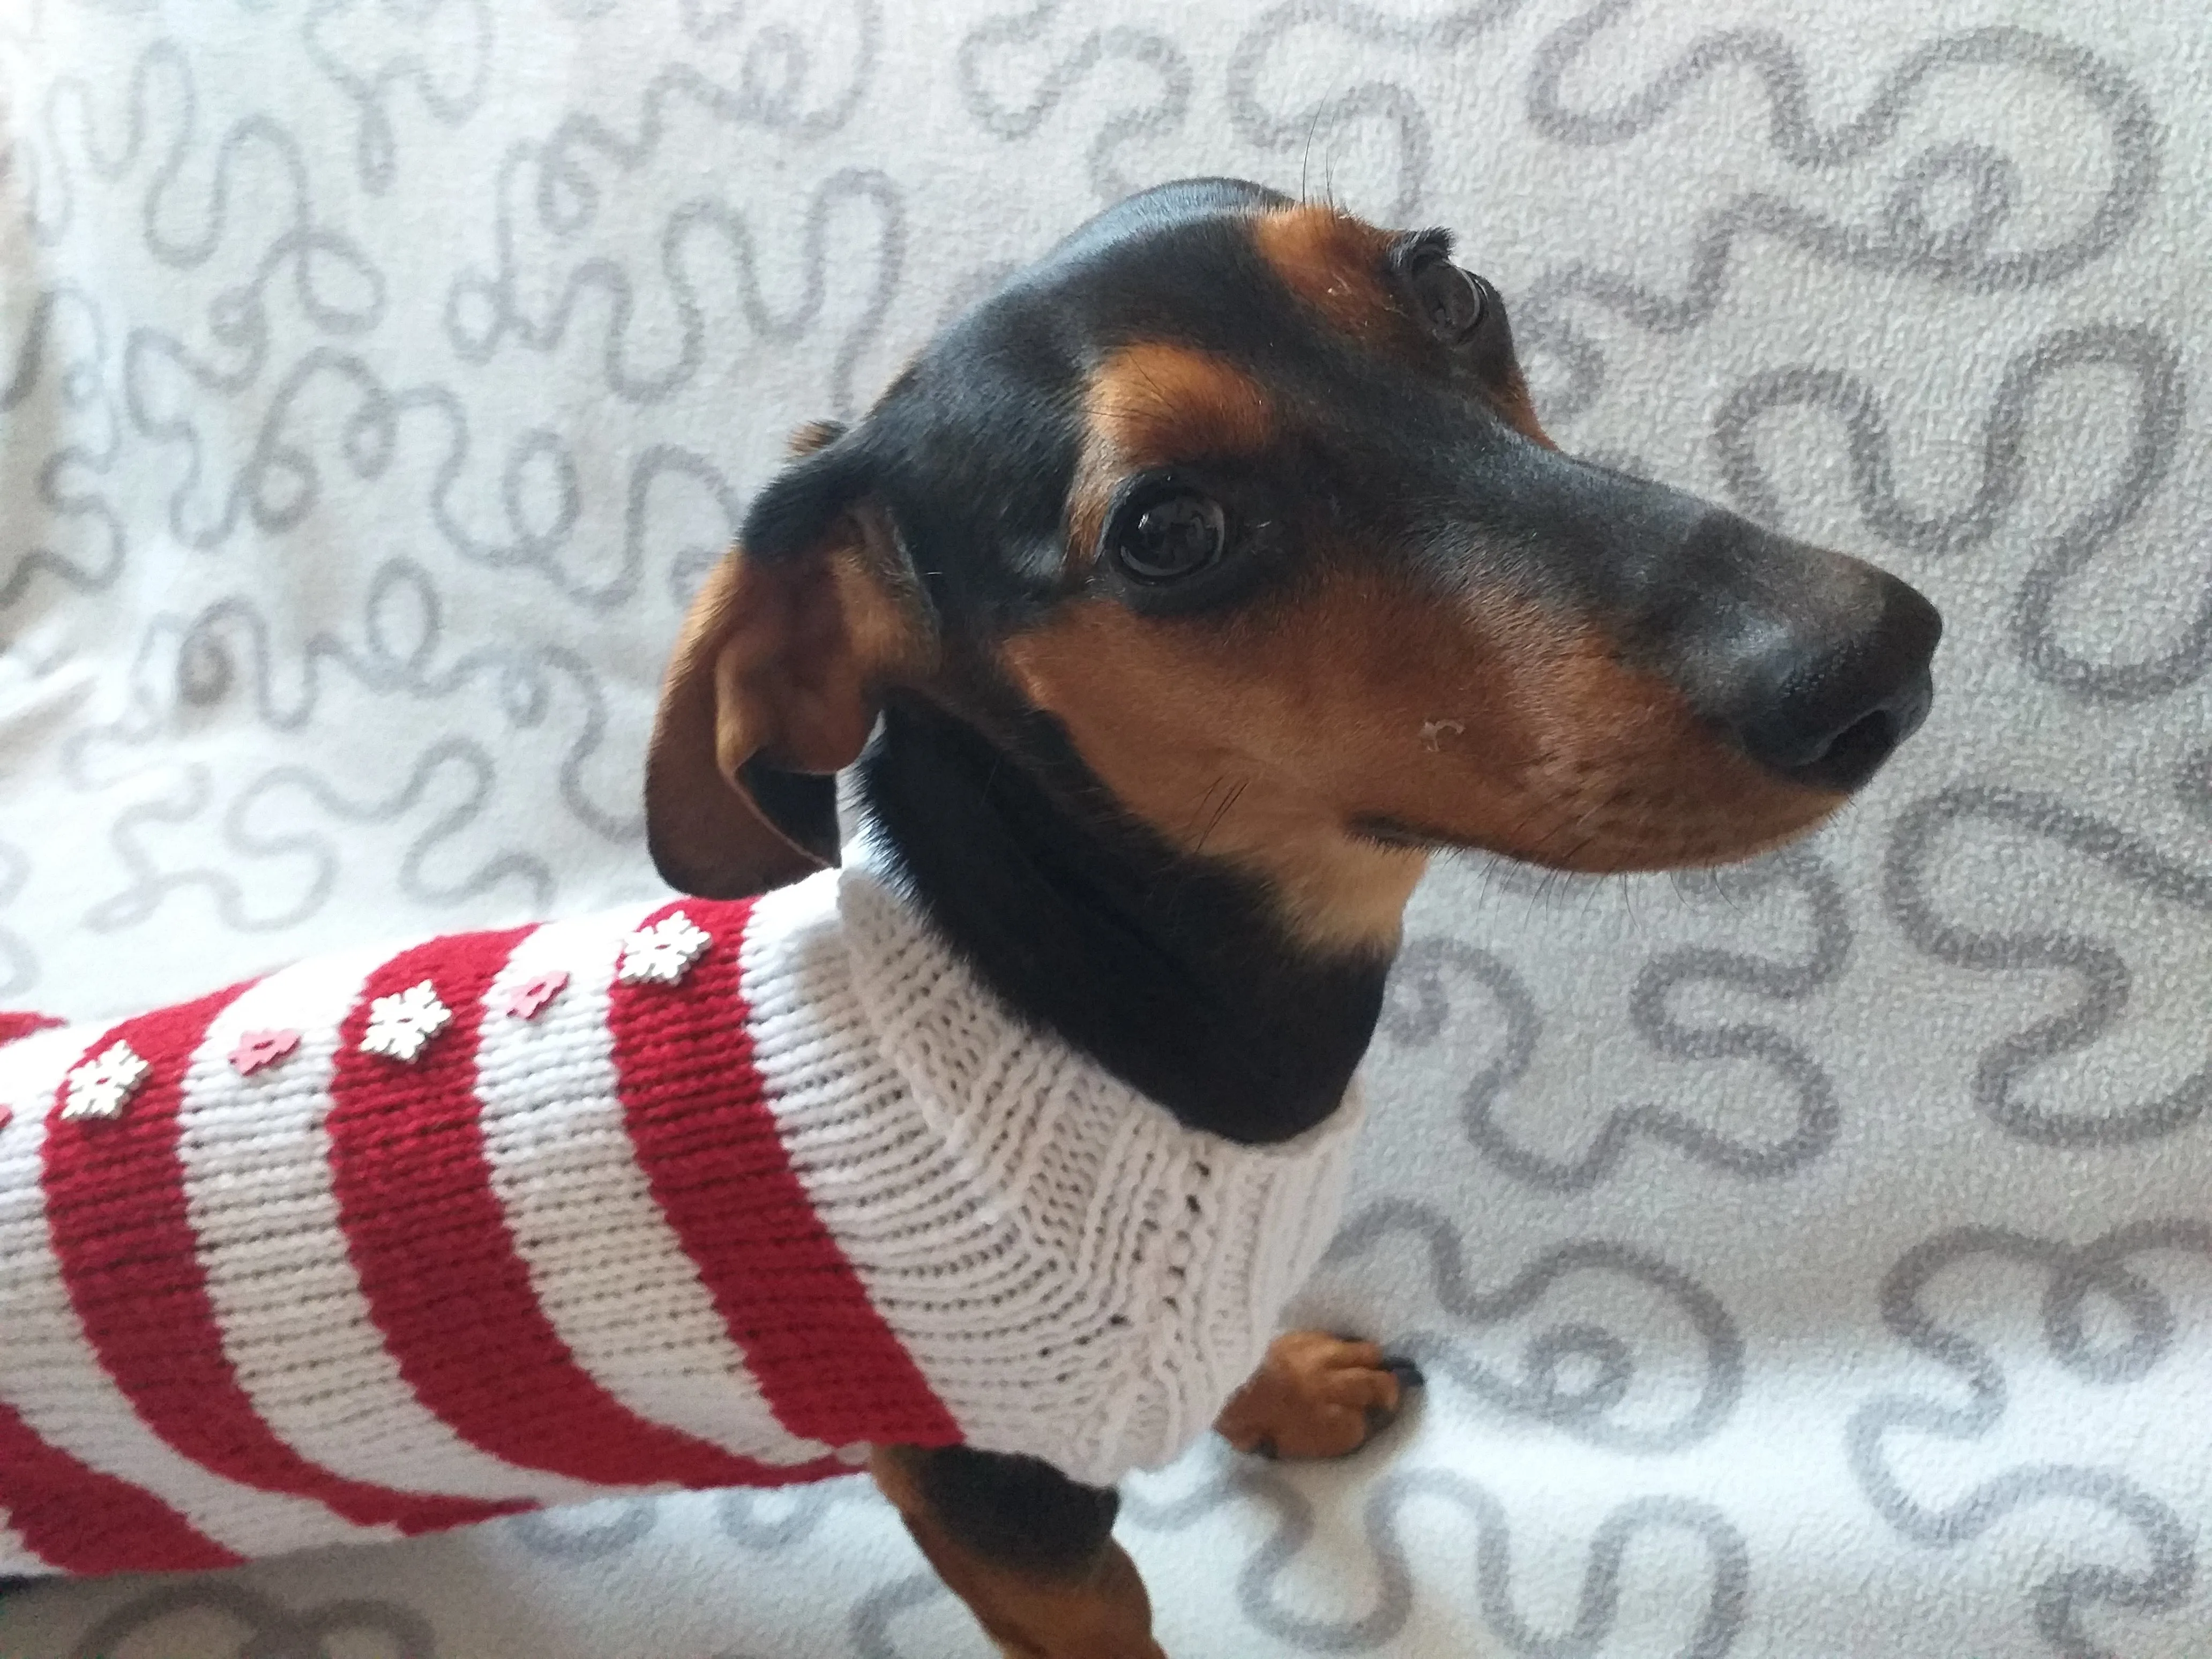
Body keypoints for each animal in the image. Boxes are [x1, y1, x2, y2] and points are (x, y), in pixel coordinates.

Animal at [641, 176, 1938, 1654]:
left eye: (1447, 289)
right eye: (1167, 533)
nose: (1876, 657)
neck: (1074, 1012)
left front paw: (1288, 1391)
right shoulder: (997, 1505)